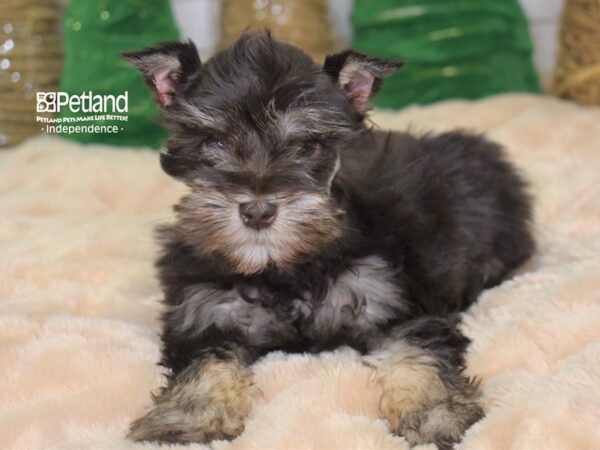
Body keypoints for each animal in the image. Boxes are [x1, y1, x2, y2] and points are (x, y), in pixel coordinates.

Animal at [123, 32, 536, 450]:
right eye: (213, 143)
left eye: (306, 147)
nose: (257, 211)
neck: (284, 268)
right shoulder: (205, 311)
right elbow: (203, 363)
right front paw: (185, 420)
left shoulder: (394, 300)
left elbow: (420, 349)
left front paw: (435, 412)